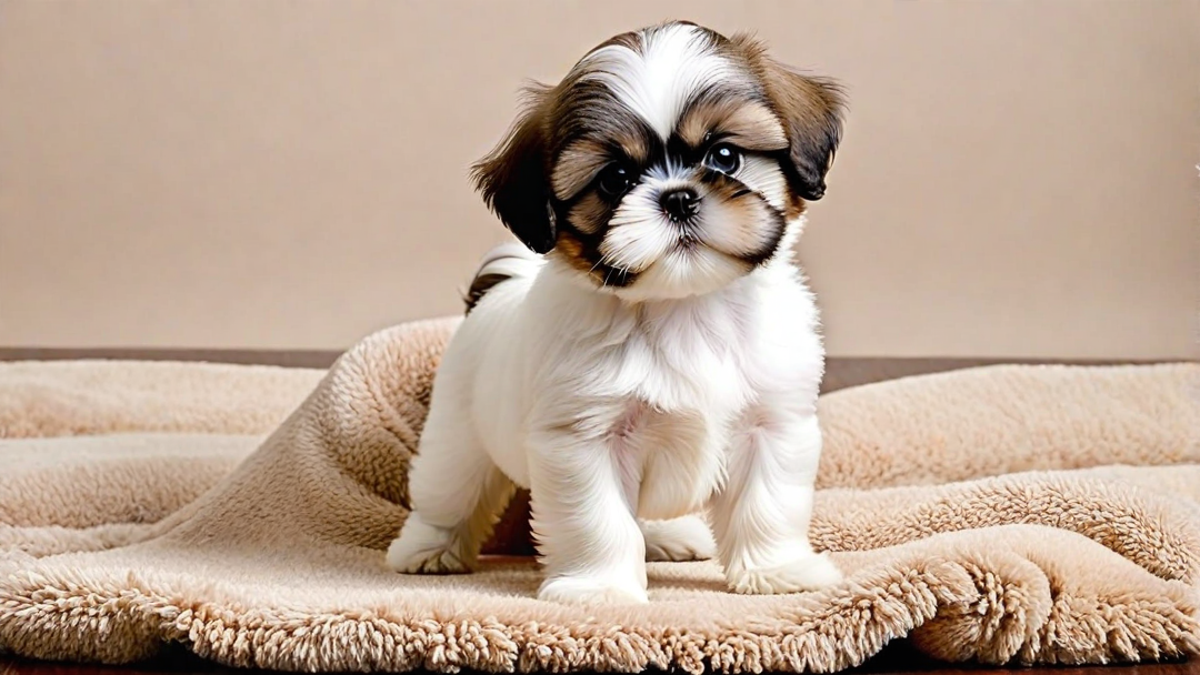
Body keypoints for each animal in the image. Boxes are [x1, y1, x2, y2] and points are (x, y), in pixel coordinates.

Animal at [388, 21, 849, 600]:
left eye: (724, 156)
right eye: (615, 179)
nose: (678, 197)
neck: (683, 307)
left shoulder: (773, 422)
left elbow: (766, 504)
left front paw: (778, 571)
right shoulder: (585, 439)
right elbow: (599, 519)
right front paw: (600, 589)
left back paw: (667, 536)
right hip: (459, 433)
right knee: (448, 491)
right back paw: (426, 548)